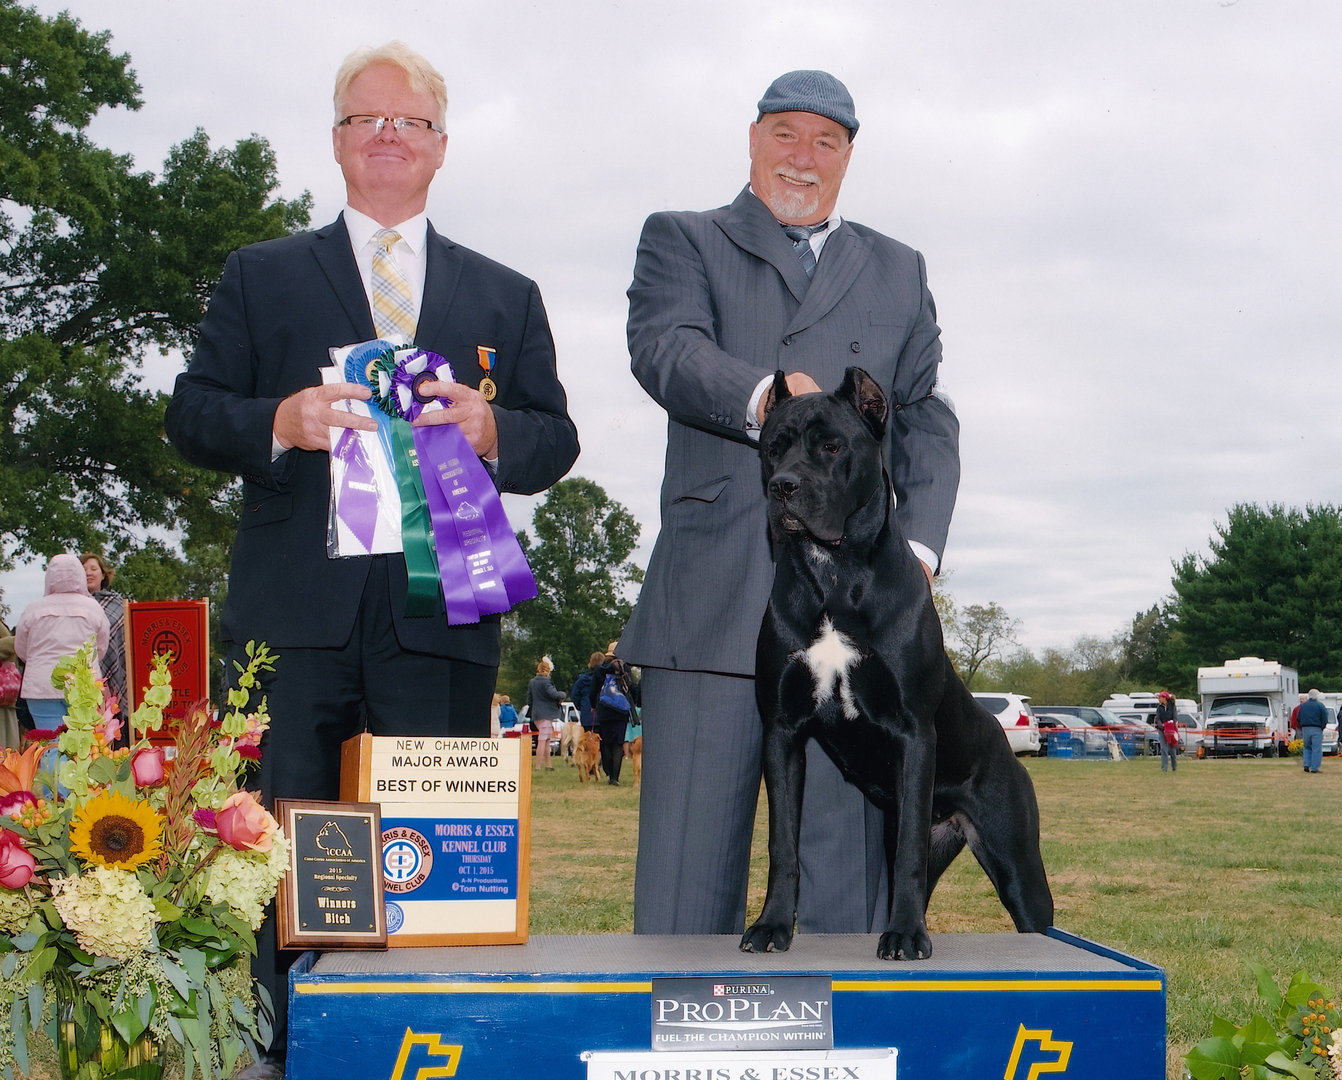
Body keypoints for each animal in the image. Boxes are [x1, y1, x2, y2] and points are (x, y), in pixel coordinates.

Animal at [740, 367, 1052, 955]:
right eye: (771, 450)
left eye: (831, 446)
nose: (782, 486)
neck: (834, 570)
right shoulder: (783, 729)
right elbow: (782, 844)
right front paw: (771, 926)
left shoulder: (912, 732)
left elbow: (906, 854)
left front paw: (905, 936)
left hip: (1018, 863)